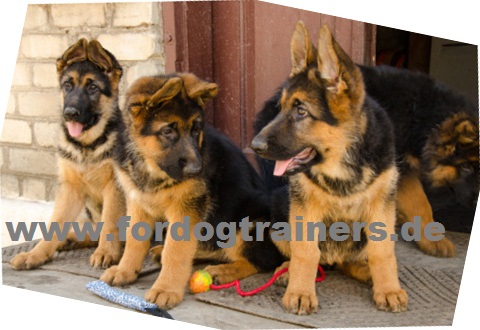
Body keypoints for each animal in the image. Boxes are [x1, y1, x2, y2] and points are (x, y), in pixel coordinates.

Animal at [10, 39, 125, 270]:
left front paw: (106, 252)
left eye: (92, 87)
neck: (86, 145)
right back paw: (69, 240)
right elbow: (55, 223)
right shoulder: (70, 189)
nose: (69, 113)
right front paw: (35, 254)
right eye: (67, 85)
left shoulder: (114, 187)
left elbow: (110, 221)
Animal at [99, 72, 284, 310]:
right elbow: (134, 241)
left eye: (196, 130)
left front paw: (166, 289)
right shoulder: (137, 201)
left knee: (260, 260)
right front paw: (125, 270)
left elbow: (176, 251)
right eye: (167, 131)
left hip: (251, 220)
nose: (197, 170)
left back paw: (223, 271)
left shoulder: (186, 207)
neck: (151, 166)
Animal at [251, 22, 408, 314]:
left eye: (301, 111)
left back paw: (365, 271)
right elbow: (306, 251)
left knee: (352, 261)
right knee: (307, 255)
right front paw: (300, 292)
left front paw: (388, 289)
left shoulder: (382, 205)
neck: (341, 163)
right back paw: (288, 271)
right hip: (278, 216)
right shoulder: (304, 207)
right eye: (281, 108)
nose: (254, 145)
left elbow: (382, 251)